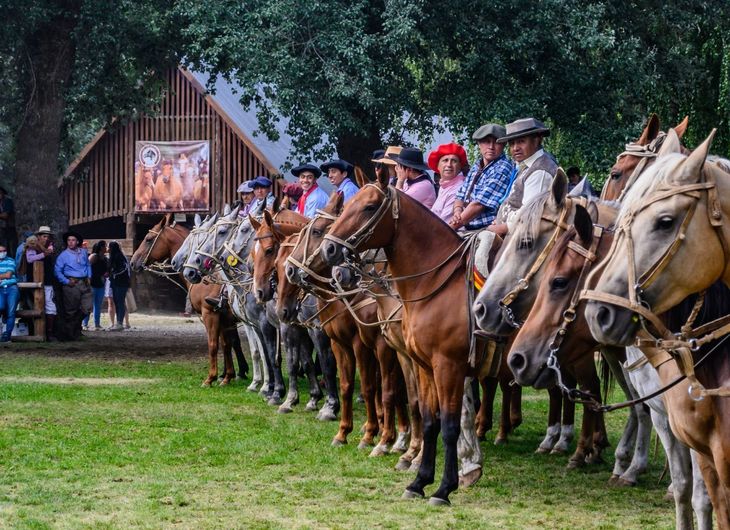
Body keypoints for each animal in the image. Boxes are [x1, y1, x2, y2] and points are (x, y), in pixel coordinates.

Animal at [129, 214, 250, 387]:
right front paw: (228, 375)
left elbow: (214, 345)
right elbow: (228, 344)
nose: (133, 262)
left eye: (148, 239)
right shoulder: (224, 318)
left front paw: (211, 377)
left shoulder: (210, 314)